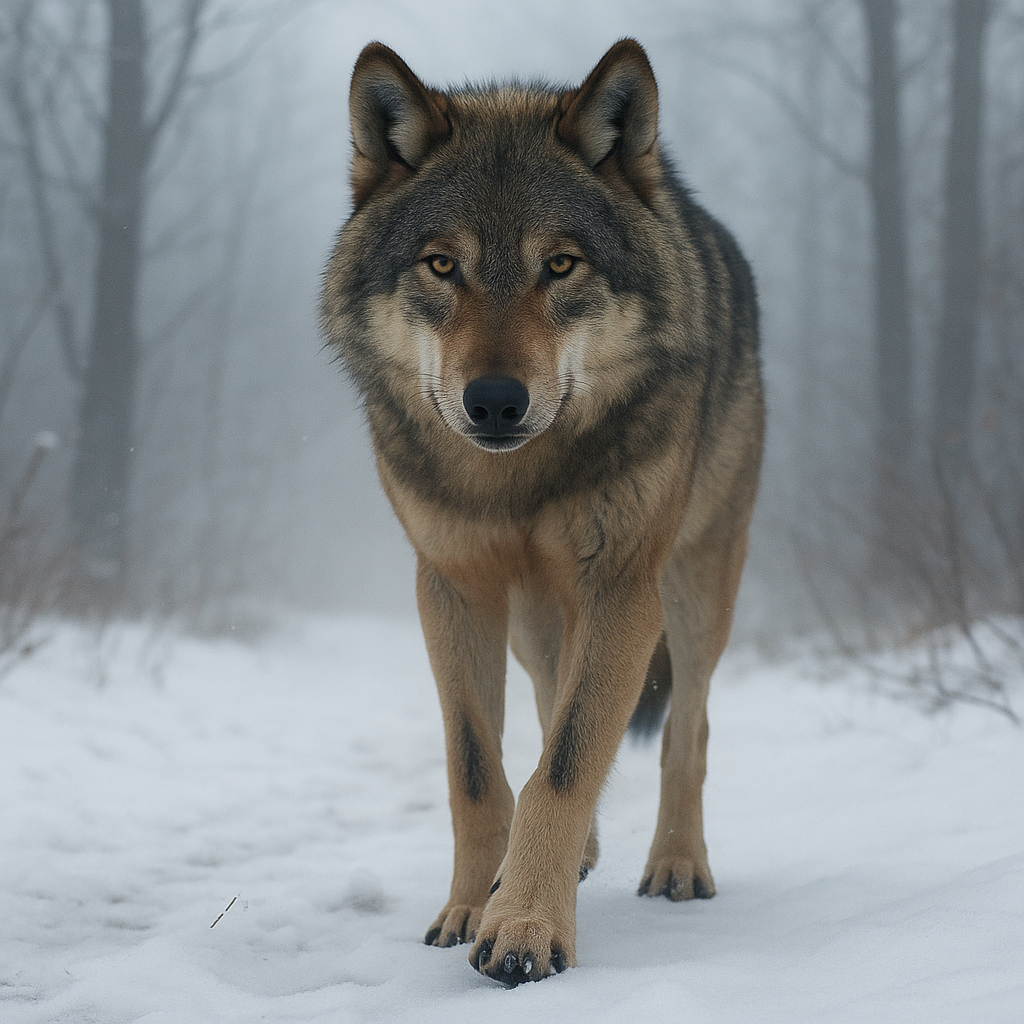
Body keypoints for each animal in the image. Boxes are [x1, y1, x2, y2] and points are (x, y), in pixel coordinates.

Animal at [320, 38, 764, 985]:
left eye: (559, 265)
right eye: (441, 264)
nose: (494, 401)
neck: (515, 483)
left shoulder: (622, 586)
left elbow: (564, 764)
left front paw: (523, 927)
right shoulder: (453, 588)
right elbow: (481, 769)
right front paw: (467, 907)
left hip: (693, 586)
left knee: (687, 724)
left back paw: (677, 865)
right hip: (535, 617)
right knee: (551, 699)